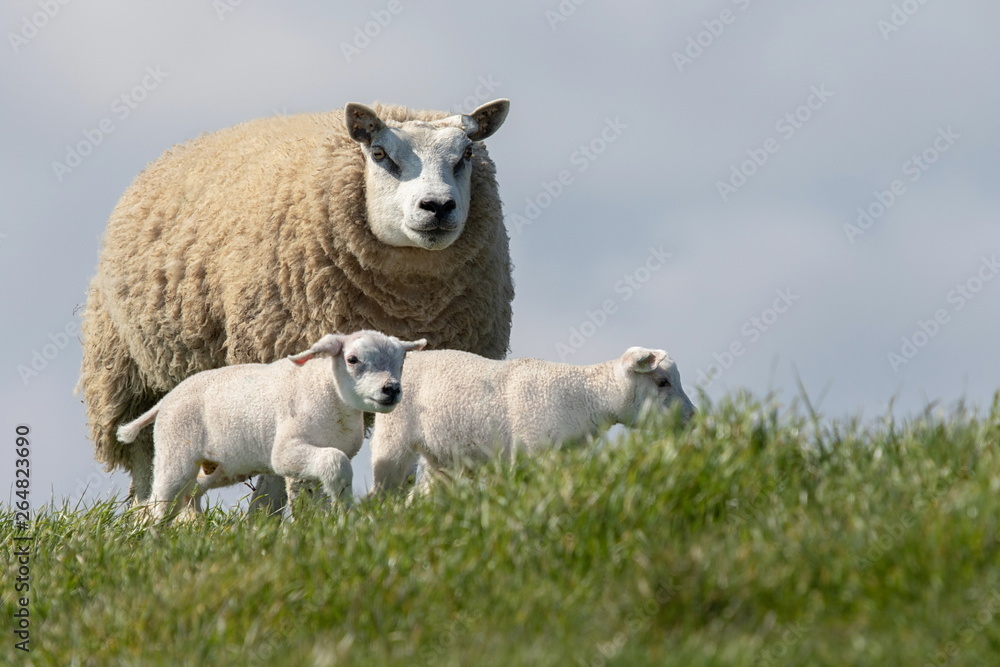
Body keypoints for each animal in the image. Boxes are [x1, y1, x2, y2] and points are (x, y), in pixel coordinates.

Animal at [115, 330, 426, 522]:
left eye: (401, 362)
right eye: (352, 359)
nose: (391, 389)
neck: (328, 395)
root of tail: (165, 401)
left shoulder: (310, 461)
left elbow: (316, 493)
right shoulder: (286, 452)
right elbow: (336, 465)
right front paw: (346, 509)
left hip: (223, 466)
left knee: (192, 491)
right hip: (175, 454)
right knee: (161, 502)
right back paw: (152, 538)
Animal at [369, 346, 695, 494]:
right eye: (663, 382)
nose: (692, 417)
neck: (586, 396)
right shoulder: (531, 450)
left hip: (443, 458)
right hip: (392, 438)